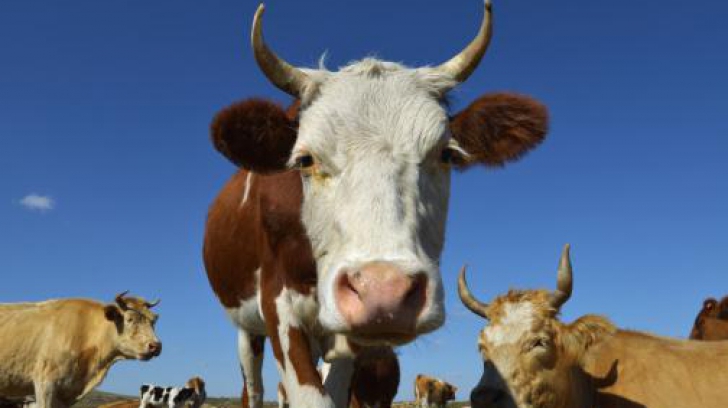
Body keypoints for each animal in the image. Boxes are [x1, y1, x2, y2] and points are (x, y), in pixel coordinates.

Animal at [202, 1, 548, 406]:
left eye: (446, 154)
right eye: (305, 159)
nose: (384, 293)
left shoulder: (351, 337)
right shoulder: (278, 306)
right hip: (246, 328)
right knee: (252, 386)